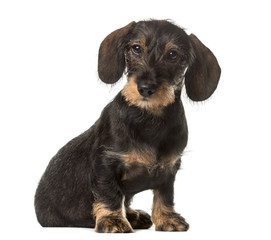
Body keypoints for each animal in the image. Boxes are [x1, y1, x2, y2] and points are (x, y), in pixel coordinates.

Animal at [34, 19, 221, 232]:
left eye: (173, 54)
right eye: (136, 48)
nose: (145, 88)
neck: (149, 119)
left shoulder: (169, 168)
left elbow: (165, 195)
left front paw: (167, 218)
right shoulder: (105, 163)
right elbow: (110, 194)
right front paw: (111, 219)